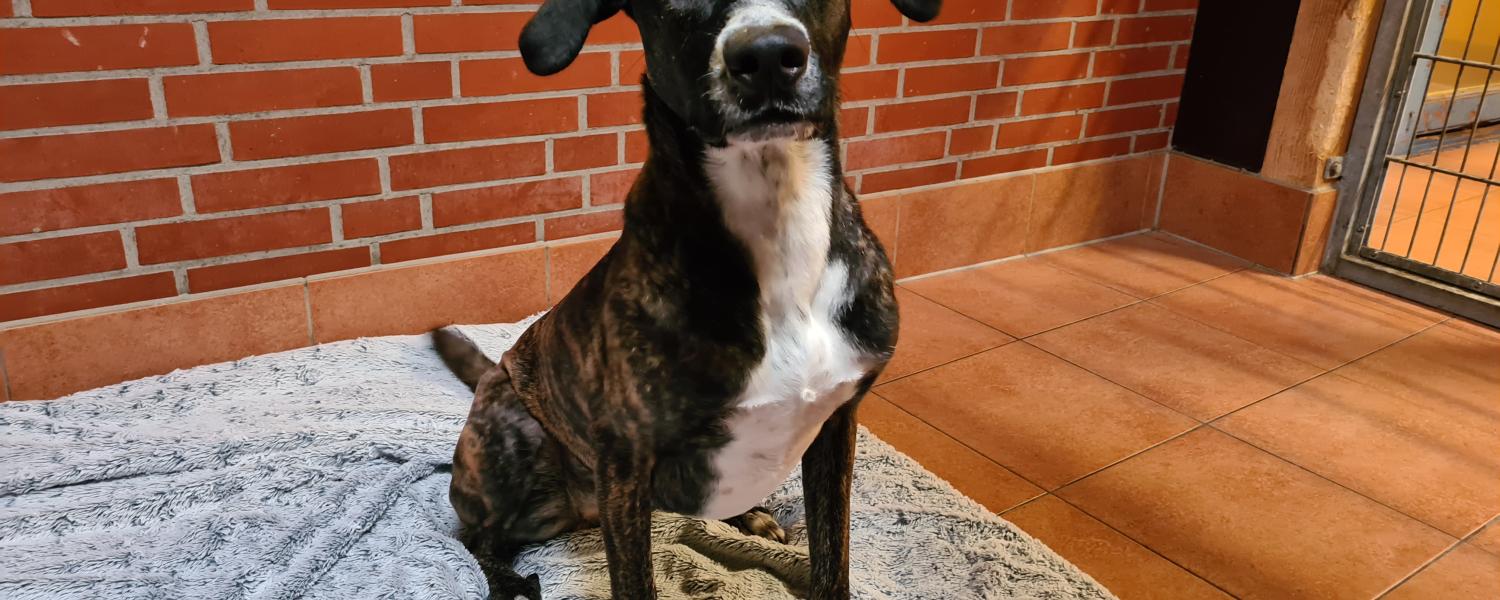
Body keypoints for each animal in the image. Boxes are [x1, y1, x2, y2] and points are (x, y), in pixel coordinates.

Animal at [432, 0, 940, 597]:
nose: (768, 56)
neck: (778, 212)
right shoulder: (624, 463)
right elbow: (636, 581)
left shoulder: (837, 423)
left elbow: (831, 557)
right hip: (519, 432)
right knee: (472, 540)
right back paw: (510, 580)